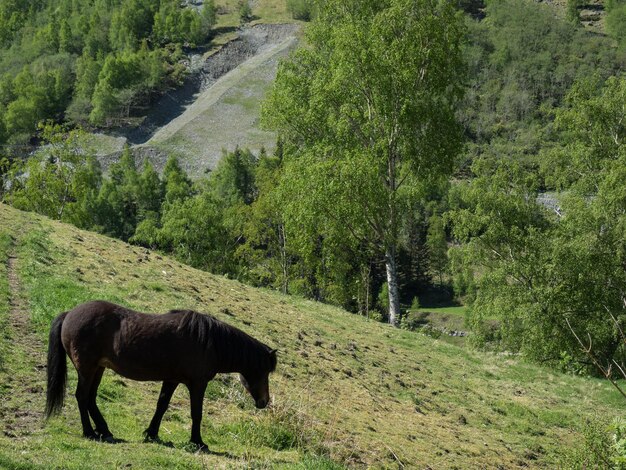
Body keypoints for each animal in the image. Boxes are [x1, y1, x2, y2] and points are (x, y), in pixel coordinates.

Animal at [44, 302, 276, 448]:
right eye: (264, 371)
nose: (264, 402)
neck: (209, 342)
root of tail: (69, 314)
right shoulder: (198, 384)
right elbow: (196, 413)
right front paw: (198, 442)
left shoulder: (172, 380)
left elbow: (162, 406)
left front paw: (152, 433)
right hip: (87, 369)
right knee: (82, 397)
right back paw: (90, 432)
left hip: (98, 369)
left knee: (91, 399)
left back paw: (104, 431)